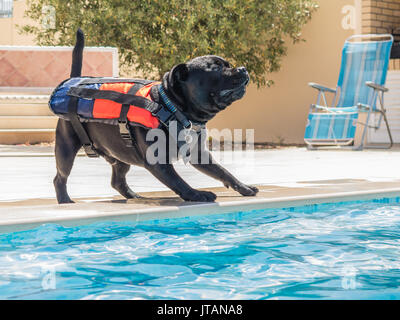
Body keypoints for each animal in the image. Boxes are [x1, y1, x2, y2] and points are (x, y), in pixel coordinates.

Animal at [53, 31, 260, 204]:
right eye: (216, 69)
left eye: (228, 65)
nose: (243, 68)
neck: (173, 108)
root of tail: (73, 82)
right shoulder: (159, 162)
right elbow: (178, 181)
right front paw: (196, 194)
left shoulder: (199, 154)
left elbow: (223, 171)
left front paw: (244, 187)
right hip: (66, 150)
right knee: (60, 178)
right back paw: (65, 200)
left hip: (121, 155)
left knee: (117, 180)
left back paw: (133, 195)